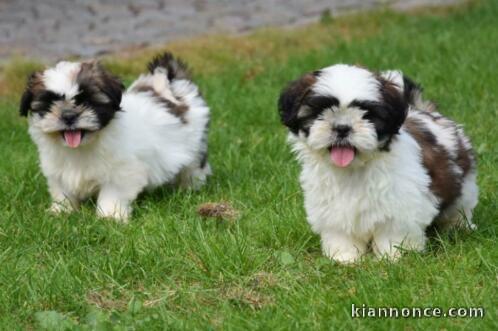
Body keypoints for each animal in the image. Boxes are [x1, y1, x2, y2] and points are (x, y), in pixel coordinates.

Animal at [20, 52, 211, 223]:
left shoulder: (121, 171)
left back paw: (189, 188)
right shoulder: (58, 170)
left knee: (194, 168)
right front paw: (61, 211)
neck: (85, 145)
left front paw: (109, 217)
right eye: (50, 102)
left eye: (87, 101)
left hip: (194, 147)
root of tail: (174, 87)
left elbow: (113, 193)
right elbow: (62, 191)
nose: (68, 116)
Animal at [278, 64, 476, 262]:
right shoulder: (331, 207)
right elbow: (340, 232)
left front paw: (394, 256)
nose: (342, 127)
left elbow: (394, 232)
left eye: (367, 114)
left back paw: (459, 226)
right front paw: (344, 257)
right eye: (321, 111)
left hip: (464, 185)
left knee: (460, 206)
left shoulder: (400, 206)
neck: (353, 168)